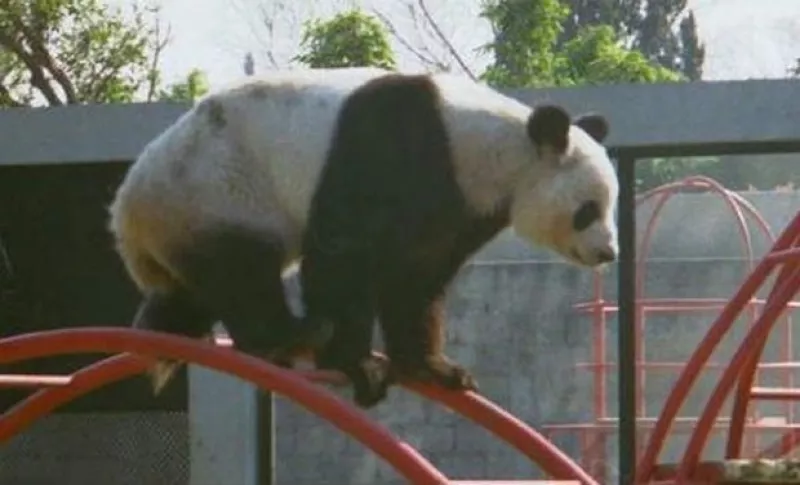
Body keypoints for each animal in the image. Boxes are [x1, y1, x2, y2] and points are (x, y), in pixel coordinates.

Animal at [108, 67, 619, 408]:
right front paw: (358, 365)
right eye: (588, 210)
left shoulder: (458, 206)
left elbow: (417, 276)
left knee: (193, 291)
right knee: (243, 268)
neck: (497, 147)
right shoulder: (394, 145)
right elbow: (344, 252)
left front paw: (436, 368)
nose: (608, 251)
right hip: (215, 193)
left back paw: (162, 335)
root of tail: (125, 215)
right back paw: (289, 335)